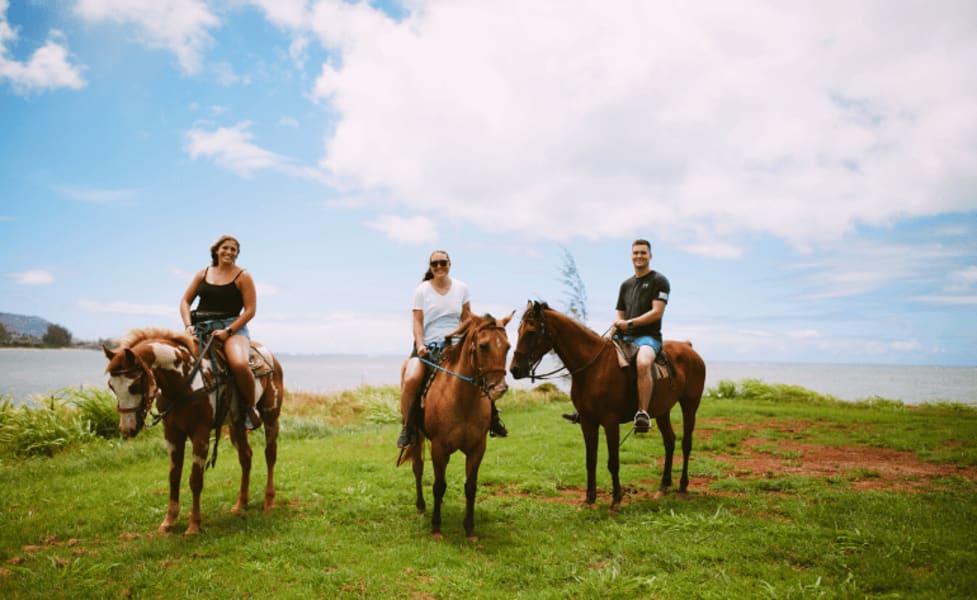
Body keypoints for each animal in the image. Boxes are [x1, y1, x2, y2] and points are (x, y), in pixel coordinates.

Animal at [103, 328, 282, 536]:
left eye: (134, 386)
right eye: (111, 386)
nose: (127, 429)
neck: (183, 382)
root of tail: (271, 358)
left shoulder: (200, 434)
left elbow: (195, 479)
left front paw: (194, 525)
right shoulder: (172, 434)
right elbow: (174, 477)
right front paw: (168, 521)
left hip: (270, 416)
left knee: (270, 455)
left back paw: (269, 501)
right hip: (236, 425)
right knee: (246, 457)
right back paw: (240, 504)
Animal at [398, 312, 520, 540]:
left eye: (508, 347)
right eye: (483, 346)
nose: (499, 388)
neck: (462, 400)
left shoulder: (477, 448)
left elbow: (470, 487)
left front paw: (470, 529)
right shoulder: (439, 448)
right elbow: (439, 485)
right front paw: (436, 528)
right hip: (416, 435)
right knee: (418, 468)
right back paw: (421, 506)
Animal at [508, 302, 704, 508]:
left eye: (530, 332)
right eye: (519, 330)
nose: (514, 369)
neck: (593, 367)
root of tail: (688, 347)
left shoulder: (610, 423)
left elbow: (613, 461)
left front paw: (616, 498)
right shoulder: (588, 422)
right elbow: (591, 460)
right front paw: (589, 498)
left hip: (690, 406)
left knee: (686, 444)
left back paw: (682, 487)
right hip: (663, 411)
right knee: (669, 442)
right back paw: (663, 486)